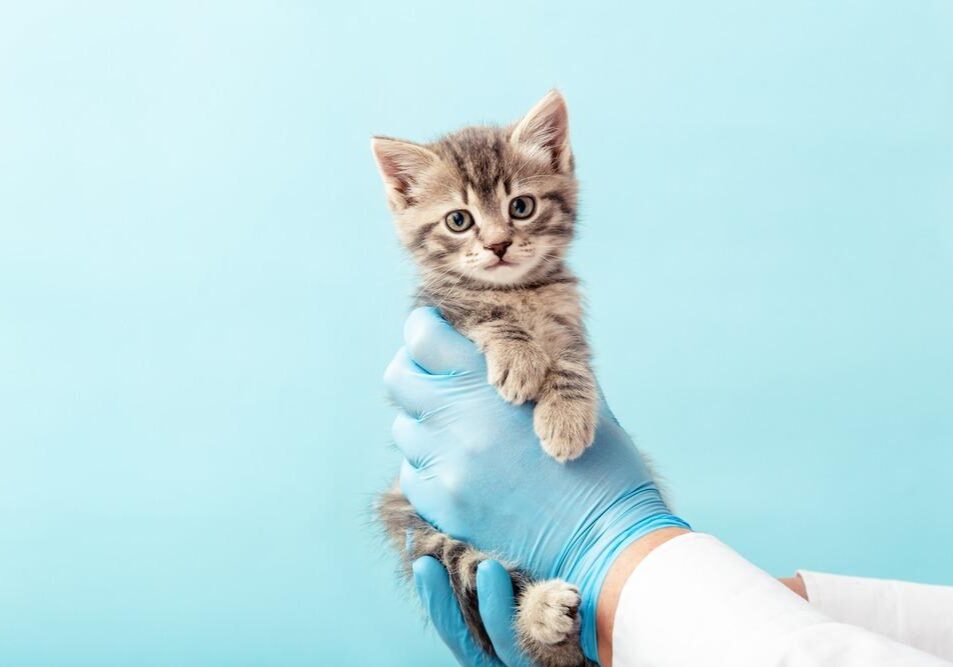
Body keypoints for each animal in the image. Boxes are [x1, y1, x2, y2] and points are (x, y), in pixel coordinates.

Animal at [372, 90, 596, 667]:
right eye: (458, 219)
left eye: (521, 206)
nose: (497, 245)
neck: (519, 291)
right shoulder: (442, 311)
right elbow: (487, 316)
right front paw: (519, 355)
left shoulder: (568, 320)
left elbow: (571, 360)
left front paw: (566, 417)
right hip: (416, 517)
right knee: (478, 570)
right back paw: (541, 612)